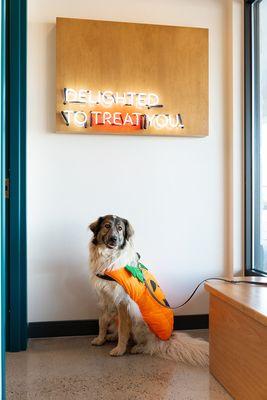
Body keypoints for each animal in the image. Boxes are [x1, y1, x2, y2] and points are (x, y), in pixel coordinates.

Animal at [89, 216, 209, 366]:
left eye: (120, 228)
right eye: (107, 226)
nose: (114, 239)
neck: (109, 258)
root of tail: (166, 339)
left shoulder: (123, 302)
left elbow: (123, 330)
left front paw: (120, 350)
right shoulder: (104, 299)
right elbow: (102, 322)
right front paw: (100, 339)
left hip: (137, 317)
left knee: (150, 345)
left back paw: (138, 347)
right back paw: (112, 336)